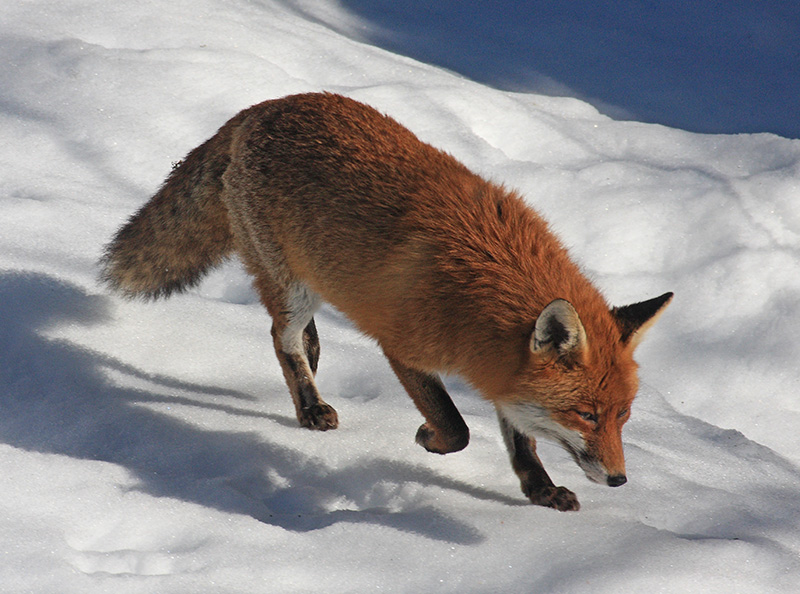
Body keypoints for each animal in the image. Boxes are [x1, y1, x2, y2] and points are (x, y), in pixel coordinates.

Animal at [103, 92, 672, 508]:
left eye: (623, 415)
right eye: (586, 415)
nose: (621, 481)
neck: (487, 284)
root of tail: (268, 104)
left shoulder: (501, 374)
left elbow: (522, 439)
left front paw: (540, 489)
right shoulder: (403, 349)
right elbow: (457, 428)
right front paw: (428, 439)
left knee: (304, 340)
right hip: (291, 287)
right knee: (281, 338)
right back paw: (309, 405)